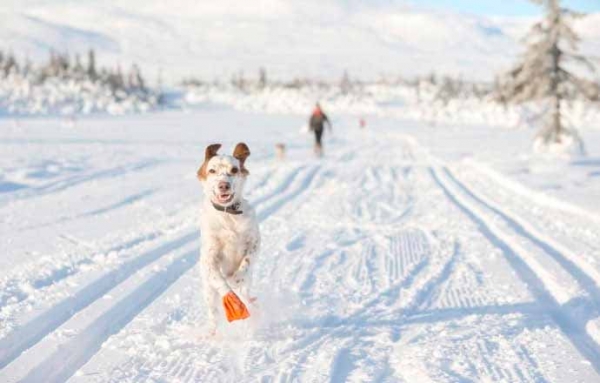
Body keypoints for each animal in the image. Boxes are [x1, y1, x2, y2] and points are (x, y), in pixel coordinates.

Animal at [197, 142, 260, 334]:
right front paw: (230, 294)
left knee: (246, 292)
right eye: (212, 170)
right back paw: (212, 333)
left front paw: (235, 278)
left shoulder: (254, 242)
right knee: (213, 313)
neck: (228, 215)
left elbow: (246, 263)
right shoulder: (209, 256)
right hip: (208, 294)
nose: (223, 185)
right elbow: (218, 278)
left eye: (234, 169)